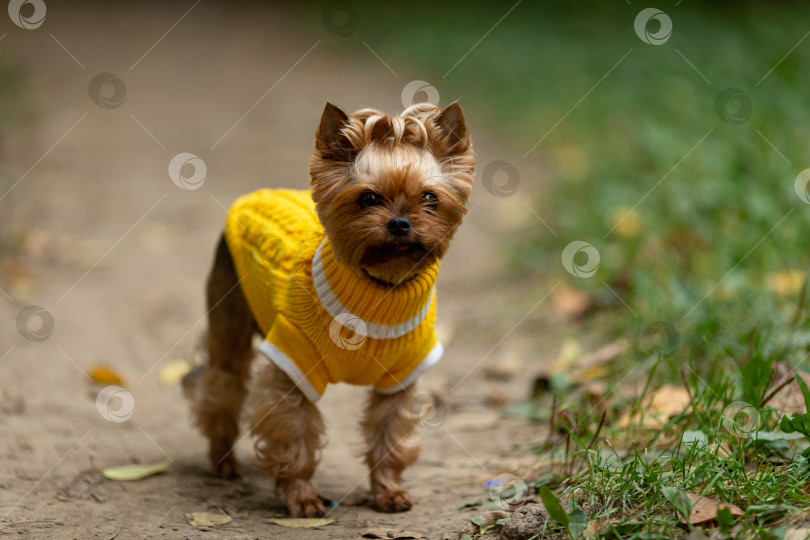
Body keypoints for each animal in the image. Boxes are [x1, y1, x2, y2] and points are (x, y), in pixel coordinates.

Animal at [183, 99, 474, 516]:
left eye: (430, 199)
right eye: (368, 198)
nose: (401, 223)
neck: (379, 288)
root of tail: (257, 194)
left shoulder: (401, 378)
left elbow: (389, 435)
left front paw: (388, 491)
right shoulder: (292, 366)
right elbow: (295, 436)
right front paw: (301, 497)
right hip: (229, 328)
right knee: (219, 389)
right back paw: (223, 462)